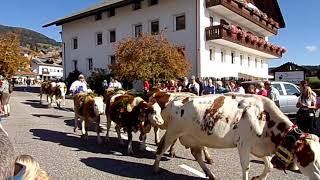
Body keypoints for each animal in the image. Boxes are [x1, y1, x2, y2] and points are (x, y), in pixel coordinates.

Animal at [153, 94, 320, 180]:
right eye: (309, 155)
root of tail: (178, 99)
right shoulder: (244, 145)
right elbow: (246, 167)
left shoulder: (258, 146)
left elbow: (269, 166)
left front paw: (258, 178)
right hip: (173, 132)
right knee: (161, 147)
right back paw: (155, 168)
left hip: (196, 137)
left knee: (197, 154)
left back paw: (210, 174)